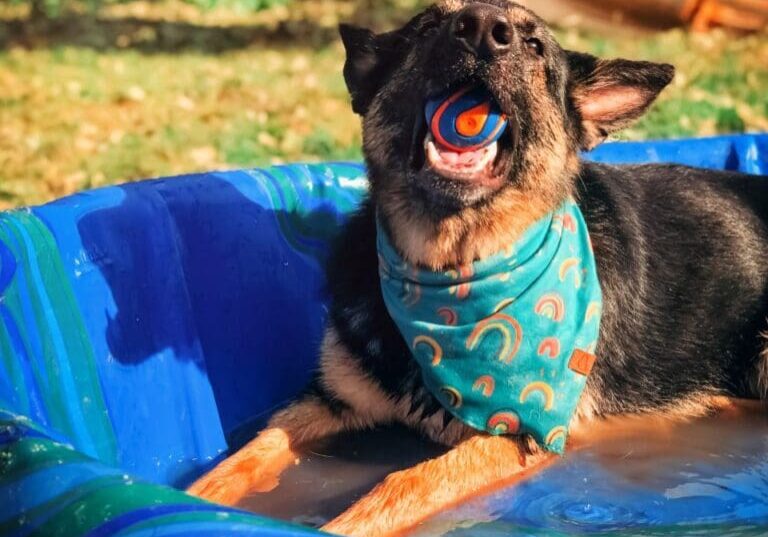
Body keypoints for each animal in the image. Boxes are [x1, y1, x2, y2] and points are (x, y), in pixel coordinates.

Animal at [189, 2, 768, 532]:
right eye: (427, 26)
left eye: (535, 47)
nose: (485, 29)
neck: (451, 269)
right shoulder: (327, 400)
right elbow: (253, 448)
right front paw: (197, 497)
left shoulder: (514, 434)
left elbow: (405, 482)